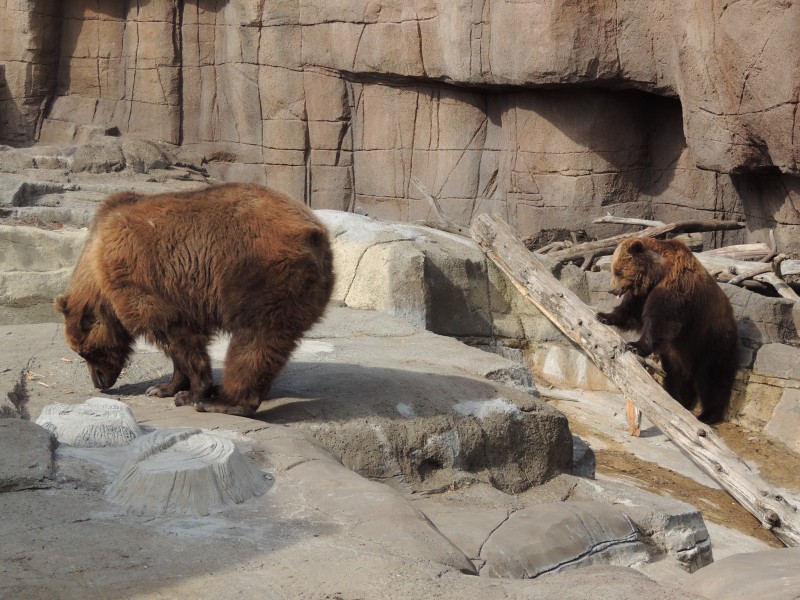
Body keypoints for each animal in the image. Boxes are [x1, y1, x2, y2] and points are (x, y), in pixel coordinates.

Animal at [55, 183, 332, 418]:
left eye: (84, 352)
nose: (99, 382)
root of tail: (314, 231)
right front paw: (163, 387)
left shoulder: (146, 284)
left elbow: (179, 339)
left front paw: (191, 394)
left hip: (261, 274)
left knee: (254, 339)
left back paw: (224, 401)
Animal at [596, 237, 740, 424]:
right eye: (613, 270)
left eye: (618, 272)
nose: (612, 290)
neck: (656, 272)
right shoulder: (644, 293)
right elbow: (631, 310)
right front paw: (604, 316)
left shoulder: (675, 285)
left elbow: (660, 318)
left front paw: (634, 345)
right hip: (680, 352)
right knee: (677, 375)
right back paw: (679, 400)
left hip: (712, 340)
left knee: (711, 377)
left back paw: (707, 414)